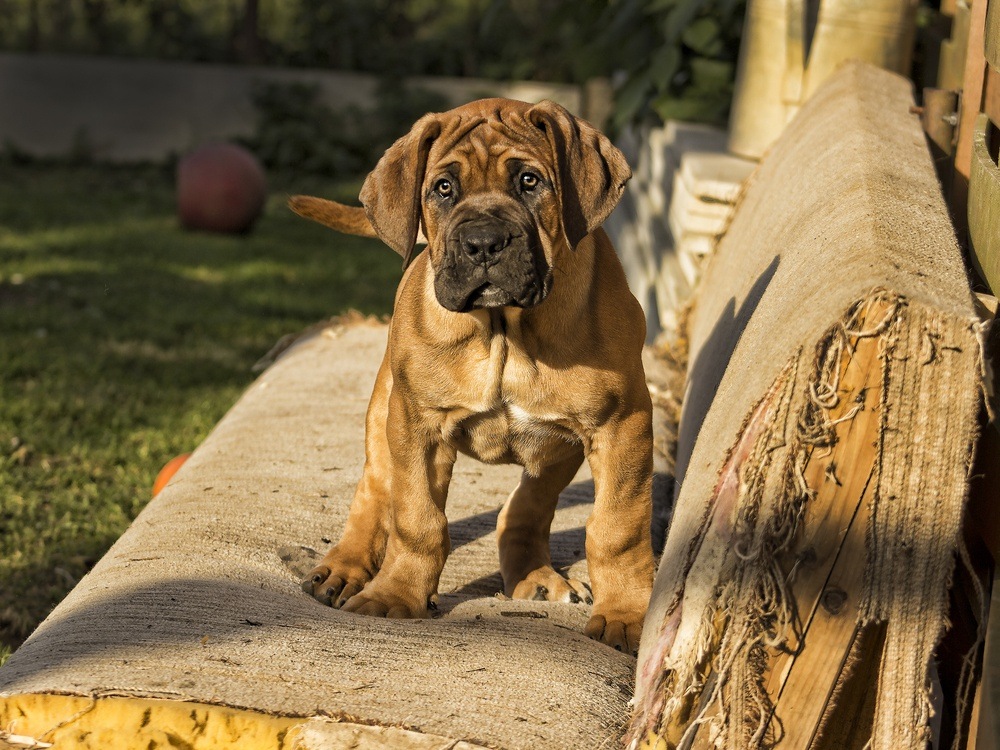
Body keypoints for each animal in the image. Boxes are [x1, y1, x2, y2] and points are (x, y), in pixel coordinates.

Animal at [292, 98, 656, 652]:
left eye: (529, 181)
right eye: (444, 188)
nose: (483, 243)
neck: (504, 329)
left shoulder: (623, 426)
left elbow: (618, 528)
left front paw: (627, 616)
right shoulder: (417, 426)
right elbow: (416, 518)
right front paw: (396, 595)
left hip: (560, 450)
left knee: (525, 509)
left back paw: (536, 578)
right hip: (384, 411)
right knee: (375, 489)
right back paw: (345, 567)